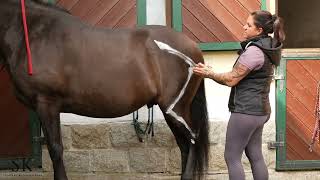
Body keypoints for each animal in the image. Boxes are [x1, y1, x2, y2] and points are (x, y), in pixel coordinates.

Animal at [0, 0, 209, 179]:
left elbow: (55, 149)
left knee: (192, 141)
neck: (37, 35)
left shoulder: (47, 103)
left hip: (175, 109)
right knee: (184, 145)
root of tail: (193, 47)